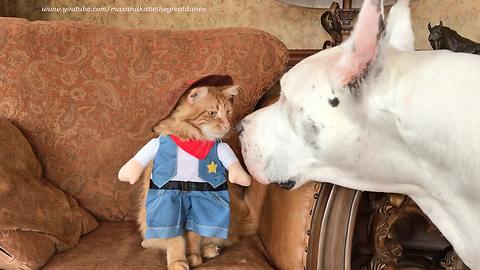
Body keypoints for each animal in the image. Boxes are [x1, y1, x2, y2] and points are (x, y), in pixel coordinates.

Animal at [119, 80, 253, 270]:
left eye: (228, 113)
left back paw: (210, 250)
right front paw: (178, 262)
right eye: (212, 113)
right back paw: (147, 243)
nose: (227, 126)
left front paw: (192, 257)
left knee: (219, 239)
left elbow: (193, 237)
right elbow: (175, 241)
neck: (192, 141)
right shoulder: (168, 205)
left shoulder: (200, 206)